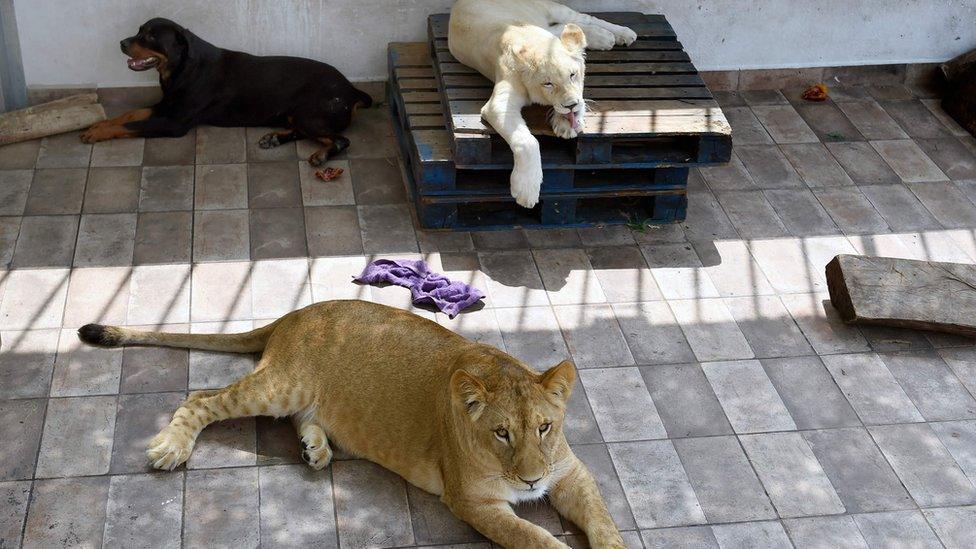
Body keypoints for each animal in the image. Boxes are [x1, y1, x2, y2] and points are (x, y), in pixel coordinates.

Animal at [78, 300, 624, 548]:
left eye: (545, 427)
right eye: (501, 433)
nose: (531, 481)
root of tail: (292, 315)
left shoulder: (570, 473)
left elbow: (603, 519)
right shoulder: (472, 502)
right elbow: (537, 539)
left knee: (299, 420)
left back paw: (316, 450)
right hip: (281, 384)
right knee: (201, 398)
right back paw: (171, 447)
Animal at [83, 18, 374, 165]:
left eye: (152, 36)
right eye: (139, 30)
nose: (122, 43)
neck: (182, 68)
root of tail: (352, 90)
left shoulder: (174, 122)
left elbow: (131, 126)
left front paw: (98, 133)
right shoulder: (166, 106)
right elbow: (129, 115)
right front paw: (98, 125)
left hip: (310, 112)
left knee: (339, 139)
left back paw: (322, 155)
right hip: (298, 114)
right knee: (304, 131)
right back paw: (275, 138)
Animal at [452, 0, 640, 209]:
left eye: (572, 75)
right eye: (548, 83)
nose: (571, 105)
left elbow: (580, 98)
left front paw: (567, 124)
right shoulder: (499, 104)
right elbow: (528, 142)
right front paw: (526, 189)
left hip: (549, 8)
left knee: (582, 18)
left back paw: (620, 34)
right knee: (565, 27)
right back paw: (604, 38)